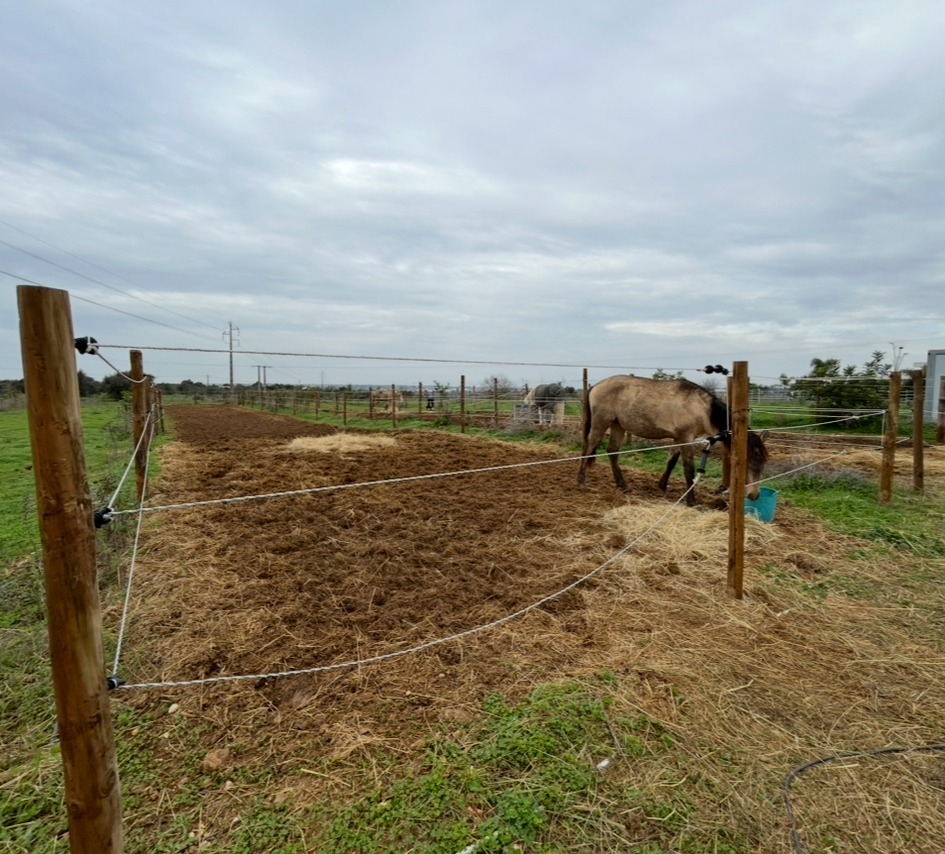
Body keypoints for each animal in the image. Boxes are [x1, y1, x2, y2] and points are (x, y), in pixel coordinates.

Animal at [577, 375, 769, 506]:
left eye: (763, 464)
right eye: (748, 462)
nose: (754, 495)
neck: (701, 408)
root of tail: (596, 386)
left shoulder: (678, 438)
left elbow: (671, 462)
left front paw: (662, 486)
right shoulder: (686, 438)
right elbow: (688, 469)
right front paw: (691, 501)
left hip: (618, 426)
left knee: (612, 452)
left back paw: (622, 485)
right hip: (601, 423)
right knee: (588, 447)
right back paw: (581, 481)